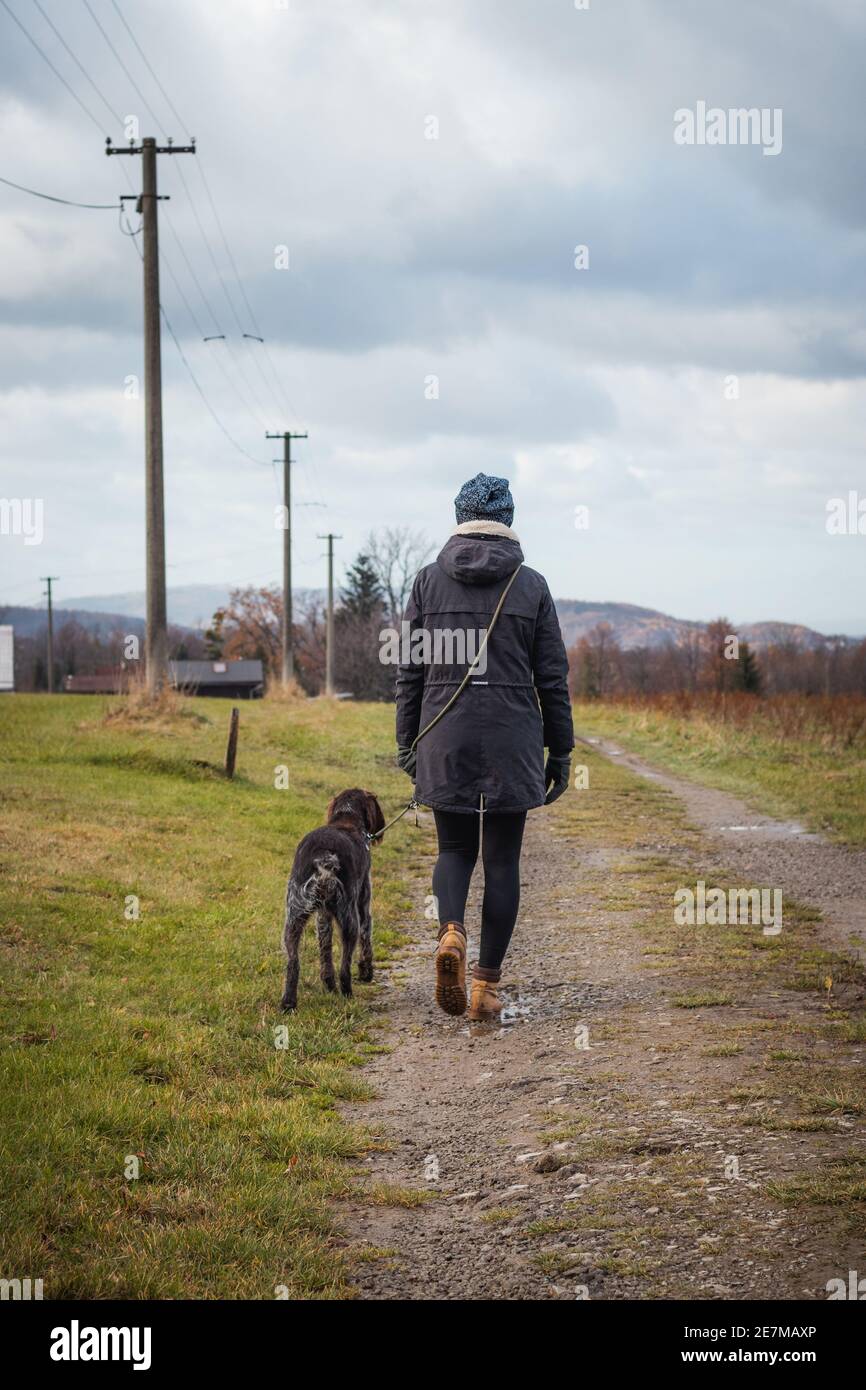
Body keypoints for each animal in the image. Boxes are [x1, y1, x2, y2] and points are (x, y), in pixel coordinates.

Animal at [280, 795, 386, 1011]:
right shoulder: (364, 904)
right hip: (349, 919)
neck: (346, 818)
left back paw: (289, 1002)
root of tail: (324, 858)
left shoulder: (323, 914)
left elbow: (325, 950)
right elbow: (366, 941)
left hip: (293, 916)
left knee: (293, 963)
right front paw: (366, 972)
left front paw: (328, 984)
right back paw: (347, 993)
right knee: (345, 966)